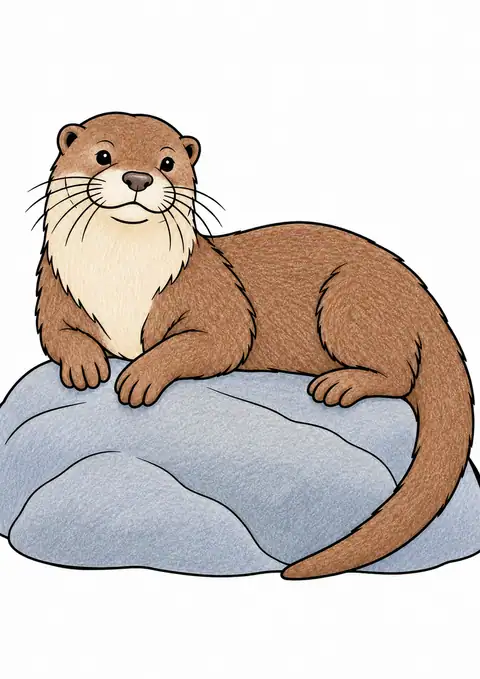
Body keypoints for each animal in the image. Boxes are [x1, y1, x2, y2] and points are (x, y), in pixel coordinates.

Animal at [34, 112, 474, 580]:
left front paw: (140, 376)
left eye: (167, 162)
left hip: (350, 300)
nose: (138, 178)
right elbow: (56, 334)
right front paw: (85, 366)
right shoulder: (54, 289)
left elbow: (217, 340)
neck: (121, 281)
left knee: (401, 373)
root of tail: (425, 300)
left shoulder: (216, 295)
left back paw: (341, 385)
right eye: (103, 155)